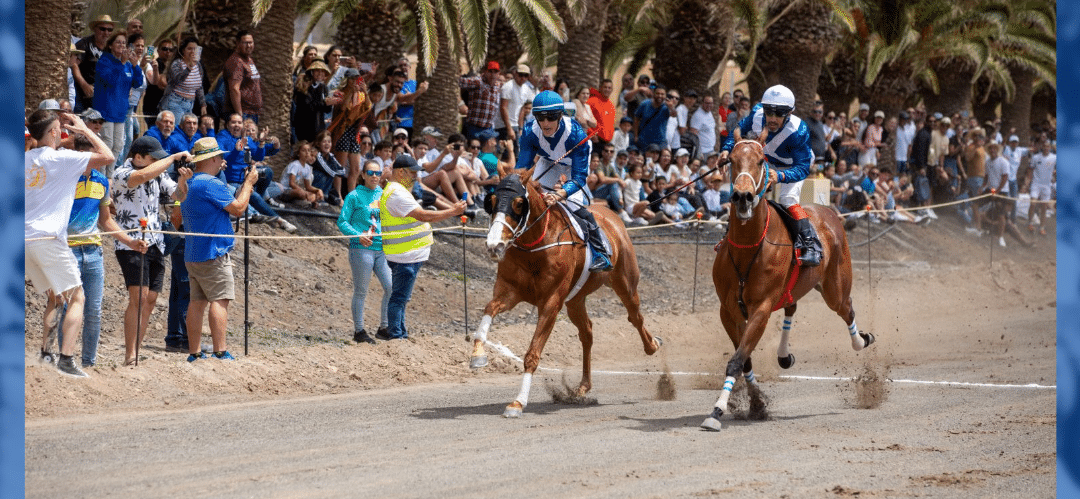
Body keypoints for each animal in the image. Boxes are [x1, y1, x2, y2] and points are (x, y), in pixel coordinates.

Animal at [470, 164, 656, 416]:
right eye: (492, 200)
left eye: (518, 203)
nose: (494, 245)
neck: (535, 248)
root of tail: (611, 216)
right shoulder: (509, 292)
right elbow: (488, 310)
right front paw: (478, 356)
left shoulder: (551, 302)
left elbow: (532, 354)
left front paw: (518, 402)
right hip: (575, 300)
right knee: (587, 332)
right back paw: (583, 386)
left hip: (625, 284)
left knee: (635, 317)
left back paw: (652, 345)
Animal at [699, 138, 876, 429]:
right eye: (731, 160)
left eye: (761, 161)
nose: (743, 197)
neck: (748, 247)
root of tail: (829, 211)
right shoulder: (728, 310)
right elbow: (744, 359)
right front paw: (756, 404)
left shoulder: (760, 308)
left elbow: (737, 360)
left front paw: (716, 411)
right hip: (796, 289)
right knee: (792, 307)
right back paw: (784, 355)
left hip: (834, 289)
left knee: (847, 309)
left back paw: (861, 341)